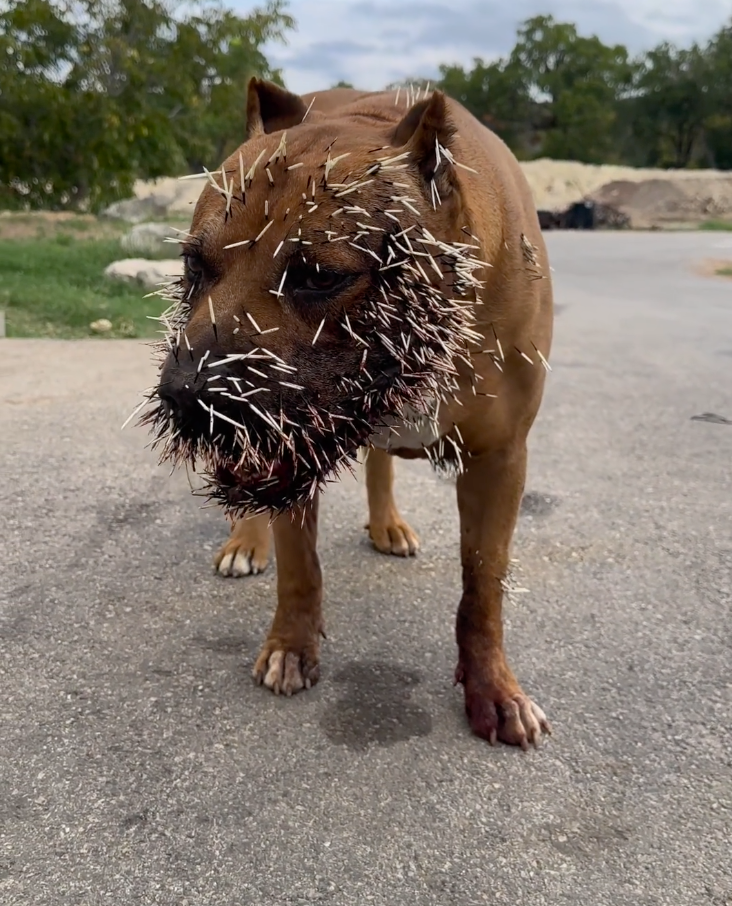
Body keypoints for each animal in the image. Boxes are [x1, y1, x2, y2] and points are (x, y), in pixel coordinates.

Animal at [146, 81, 552, 748]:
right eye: (193, 266)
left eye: (319, 276)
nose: (186, 395)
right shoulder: (288, 453)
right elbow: (299, 567)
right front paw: (291, 646)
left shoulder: (501, 459)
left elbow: (483, 587)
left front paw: (493, 687)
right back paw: (247, 539)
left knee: (380, 465)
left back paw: (387, 524)